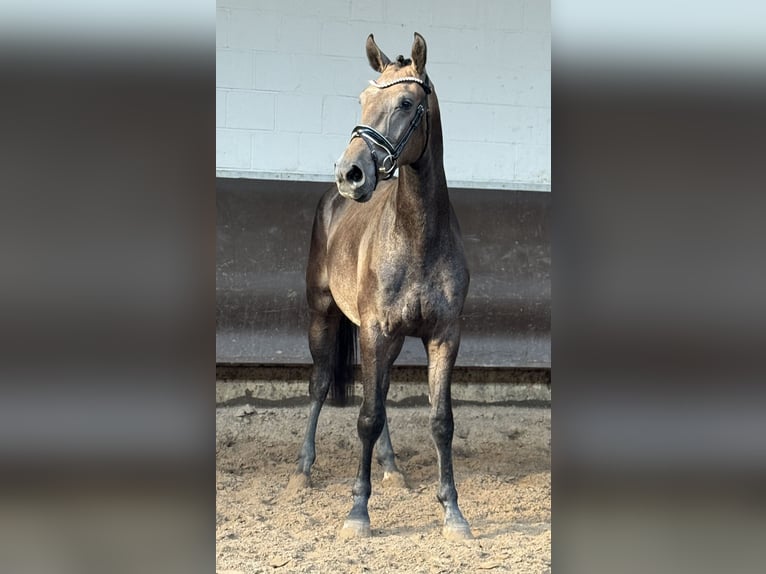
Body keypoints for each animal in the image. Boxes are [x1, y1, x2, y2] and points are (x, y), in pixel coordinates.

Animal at [286, 33, 472, 544]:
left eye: (406, 103)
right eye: (362, 100)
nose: (350, 173)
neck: (417, 236)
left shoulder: (444, 337)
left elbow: (440, 422)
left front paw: (453, 513)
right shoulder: (373, 330)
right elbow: (365, 417)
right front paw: (357, 514)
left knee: (381, 395)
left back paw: (392, 469)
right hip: (323, 316)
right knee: (321, 383)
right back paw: (302, 471)